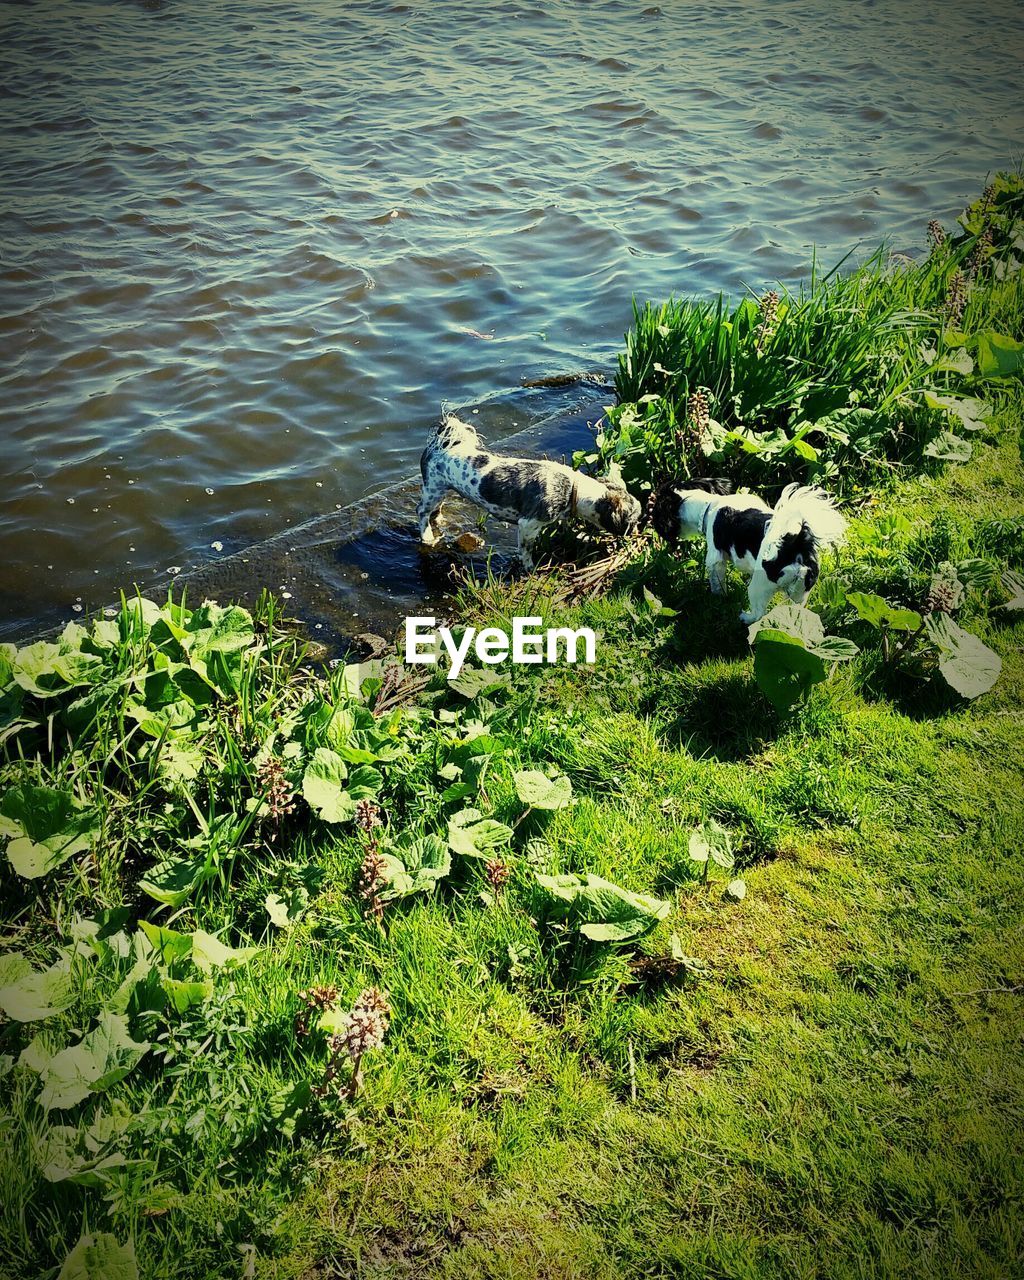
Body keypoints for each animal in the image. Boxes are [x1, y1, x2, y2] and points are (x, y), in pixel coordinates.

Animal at [414, 412, 640, 568]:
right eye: (632, 520)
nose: (637, 532)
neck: (573, 488)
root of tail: (440, 445)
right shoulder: (529, 524)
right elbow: (526, 551)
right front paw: (530, 567)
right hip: (433, 488)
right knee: (422, 511)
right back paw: (427, 536)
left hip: (442, 488)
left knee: (435, 510)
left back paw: (439, 519)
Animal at [655, 478, 849, 622]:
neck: (709, 505)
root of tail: (796, 542)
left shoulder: (715, 558)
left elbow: (717, 582)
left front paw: (719, 597)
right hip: (801, 591)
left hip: (759, 586)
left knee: (758, 614)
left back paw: (745, 618)